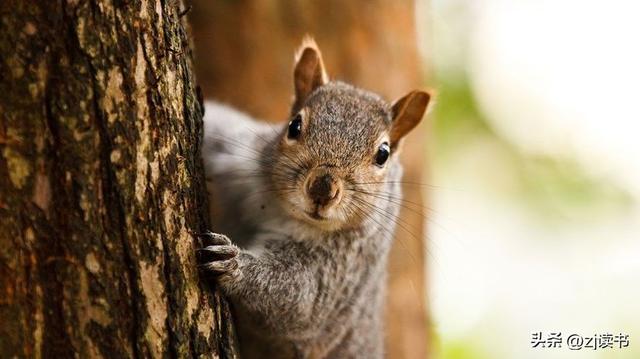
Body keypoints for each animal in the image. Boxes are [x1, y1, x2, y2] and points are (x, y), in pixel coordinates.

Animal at [199, 38, 430, 358]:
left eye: (383, 154)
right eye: (294, 126)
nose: (322, 189)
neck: (282, 210)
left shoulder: (340, 267)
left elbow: (300, 300)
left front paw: (233, 263)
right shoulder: (238, 157)